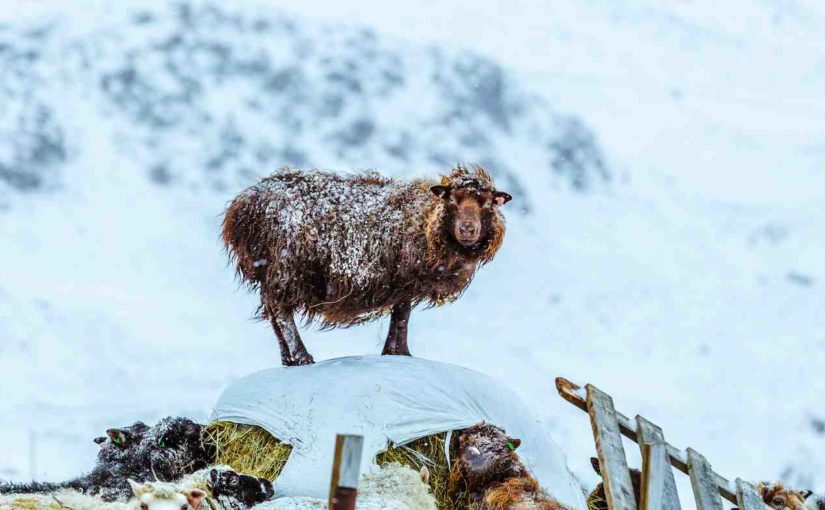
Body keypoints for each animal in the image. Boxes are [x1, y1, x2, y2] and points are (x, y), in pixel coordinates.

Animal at [222, 165, 512, 364]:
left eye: (487, 203)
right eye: (452, 200)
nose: (467, 229)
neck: (427, 223)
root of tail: (245, 204)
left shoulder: (404, 283)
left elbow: (400, 314)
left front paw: (395, 352)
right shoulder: (406, 277)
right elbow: (402, 316)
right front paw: (400, 353)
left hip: (271, 269)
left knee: (271, 309)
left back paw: (287, 359)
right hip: (288, 264)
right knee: (281, 311)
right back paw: (302, 357)